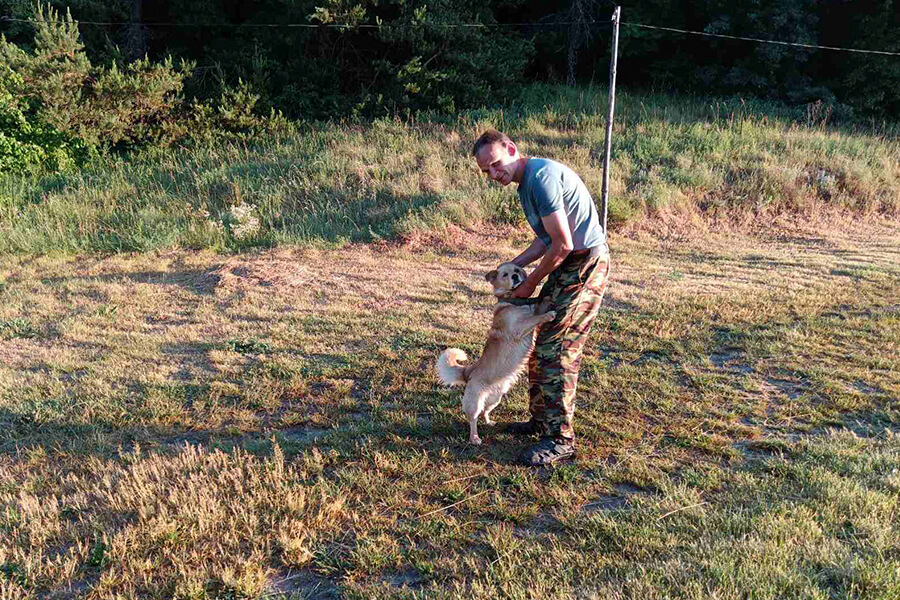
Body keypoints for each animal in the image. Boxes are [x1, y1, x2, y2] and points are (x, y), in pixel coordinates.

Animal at [436, 262, 556, 446]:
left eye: (516, 270)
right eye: (505, 275)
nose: (515, 276)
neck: (515, 303)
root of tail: (468, 371)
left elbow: (537, 310)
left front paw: (547, 300)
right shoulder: (519, 328)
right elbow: (535, 318)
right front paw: (548, 314)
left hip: (495, 399)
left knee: (485, 412)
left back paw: (489, 422)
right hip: (474, 403)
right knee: (473, 419)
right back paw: (475, 438)